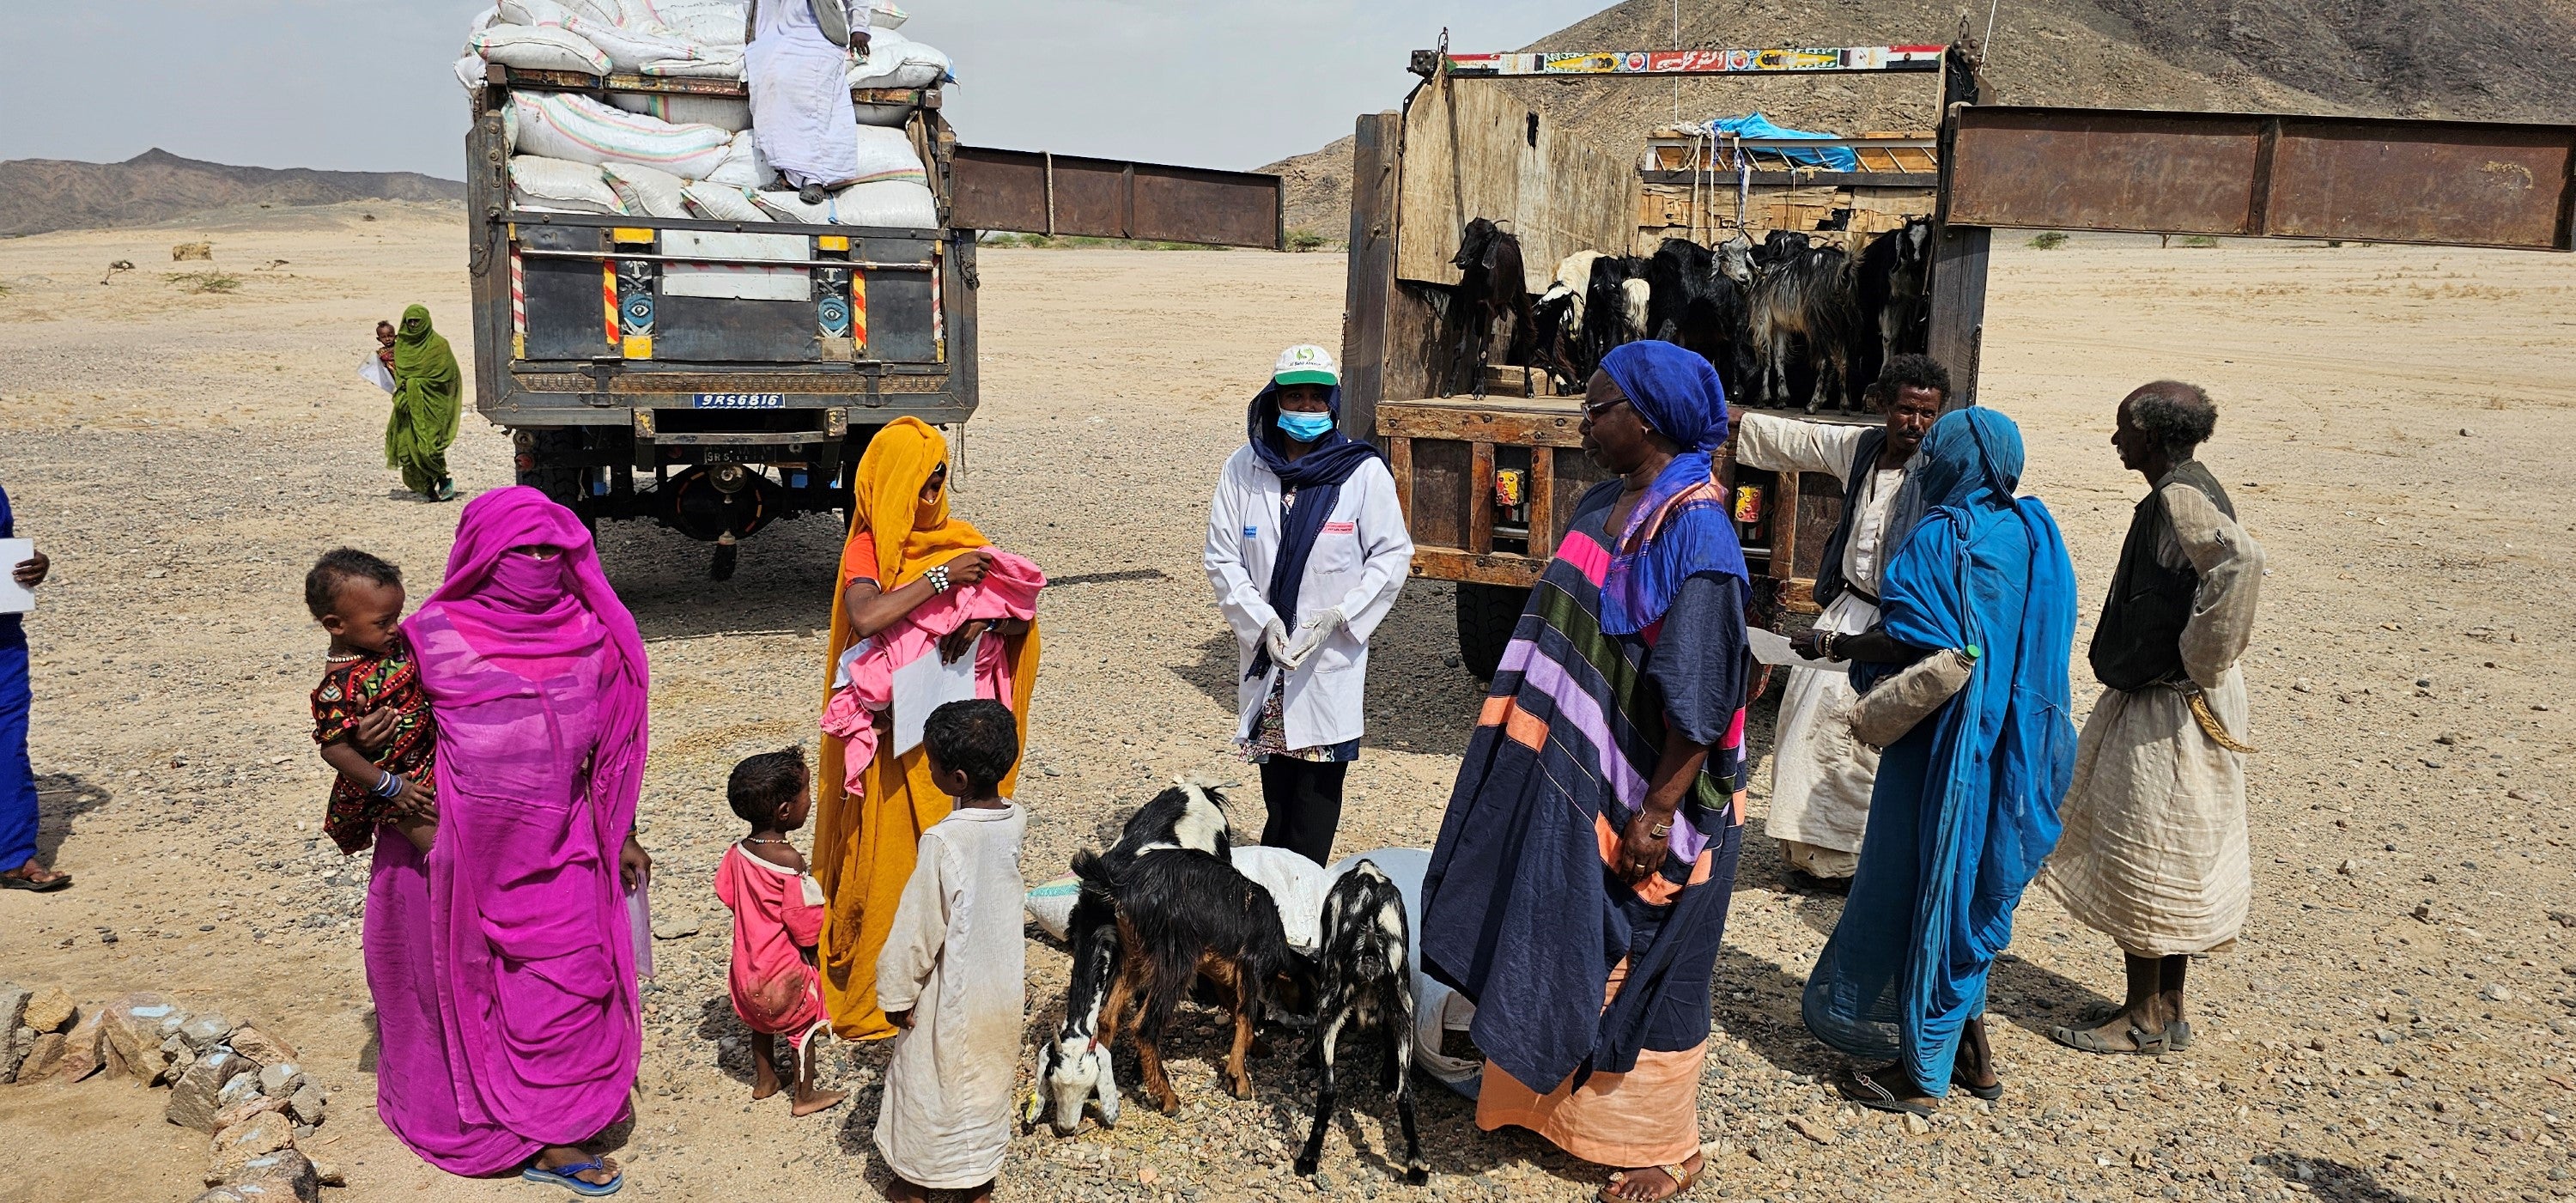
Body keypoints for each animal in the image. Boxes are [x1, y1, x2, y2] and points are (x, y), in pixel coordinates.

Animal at [1020, 783, 1231, 1139]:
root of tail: (1198, 789)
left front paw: (1136, 1072)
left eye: (1085, 1087)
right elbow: (1106, 1018)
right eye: (1054, 1083)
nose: (1066, 1128)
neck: (1100, 910)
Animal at [1288, 866, 1432, 1185]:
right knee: (1405, 1095)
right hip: (1403, 1011)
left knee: (1328, 1092)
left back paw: (1308, 1159)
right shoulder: (1396, 1012)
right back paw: (1416, 1165)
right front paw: (1388, 1074)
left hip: (1328, 1006)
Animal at [1453, 219, 1525, 402]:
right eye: (1467, 231)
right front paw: (1449, 389)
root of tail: (1508, 236)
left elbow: (1484, 351)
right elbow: (1461, 346)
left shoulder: (1489, 309)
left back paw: (1529, 389)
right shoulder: (1470, 306)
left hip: (1519, 296)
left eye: (1486, 237)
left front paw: (1479, 391)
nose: (1461, 259)